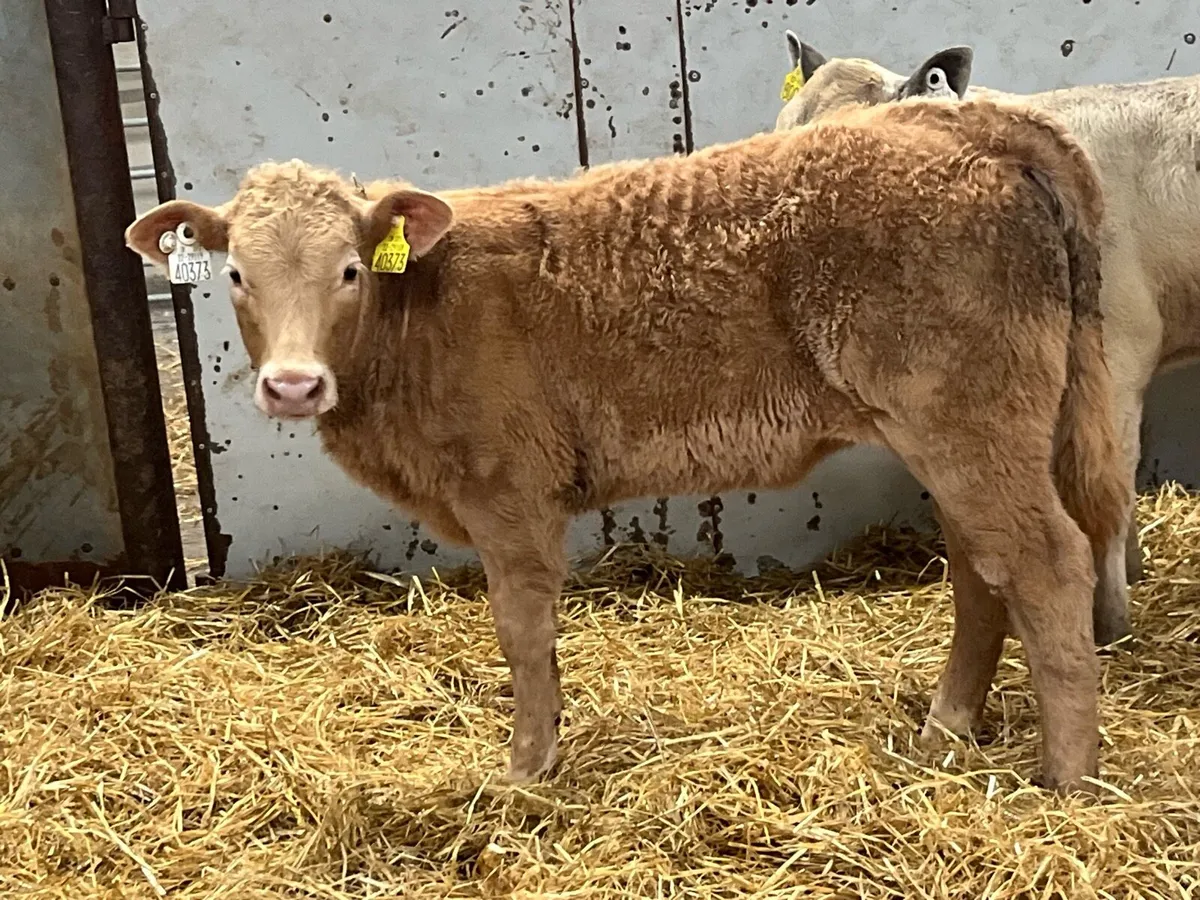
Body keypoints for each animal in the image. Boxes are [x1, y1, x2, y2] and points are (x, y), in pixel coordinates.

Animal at [126, 97, 1128, 792]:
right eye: (235, 275)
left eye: (346, 270)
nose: (293, 384)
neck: (420, 317)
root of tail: (965, 119)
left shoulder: (509, 492)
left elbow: (522, 629)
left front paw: (526, 770)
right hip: (960, 431)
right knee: (982, 568)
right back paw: (945, 729)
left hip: (967, 418)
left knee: (1046, 562)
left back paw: (1067, 780)